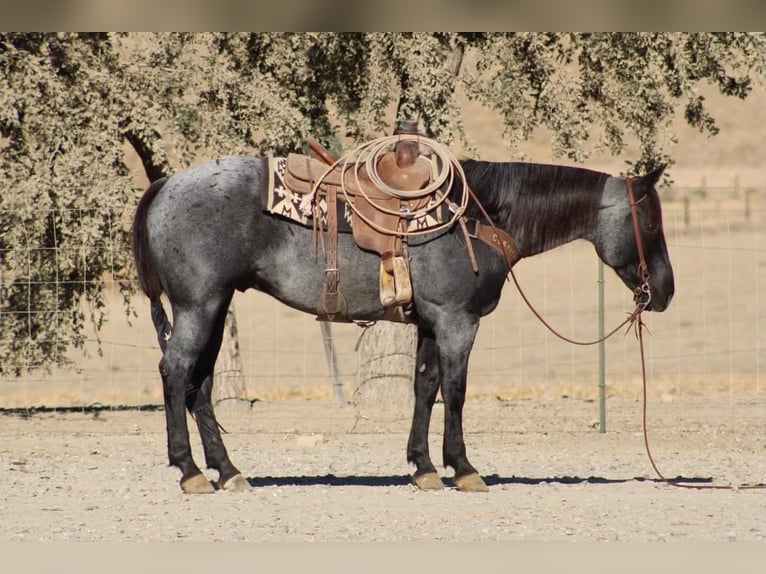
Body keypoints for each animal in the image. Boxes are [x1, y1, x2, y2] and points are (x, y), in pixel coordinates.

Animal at [132, 155, 674, 493]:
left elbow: (425, 387)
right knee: (176, 372)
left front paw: (424, 467)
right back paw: (190, 472)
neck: (479, 215)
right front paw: (464, 468)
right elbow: (454, 391)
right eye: (650, 222)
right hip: (199, 305)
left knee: (200, 383)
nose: (665, 291)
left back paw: (227, 471)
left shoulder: (432, 323)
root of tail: (165, 185)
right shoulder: (458, 321)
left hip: (215, 306)